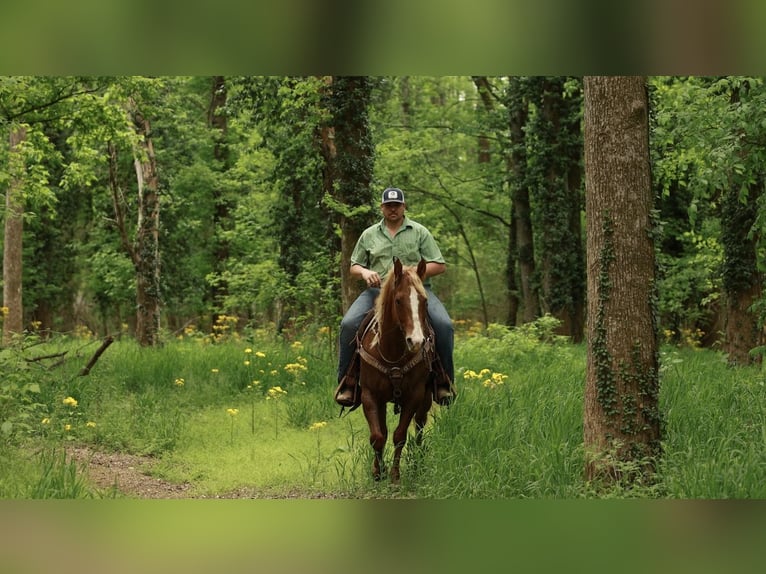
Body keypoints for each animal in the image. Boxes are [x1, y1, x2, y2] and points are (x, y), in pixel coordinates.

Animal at [357, 257, 435, 483]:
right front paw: (377, 472)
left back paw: (418, 461)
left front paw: (394, 477)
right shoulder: (370, 395)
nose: (416, 341)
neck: (392, 353)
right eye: (399, 300)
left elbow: (400, 435)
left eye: (424, 301)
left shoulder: (414, 395)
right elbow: (377, 436)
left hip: (426, 397)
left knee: (419, 424)